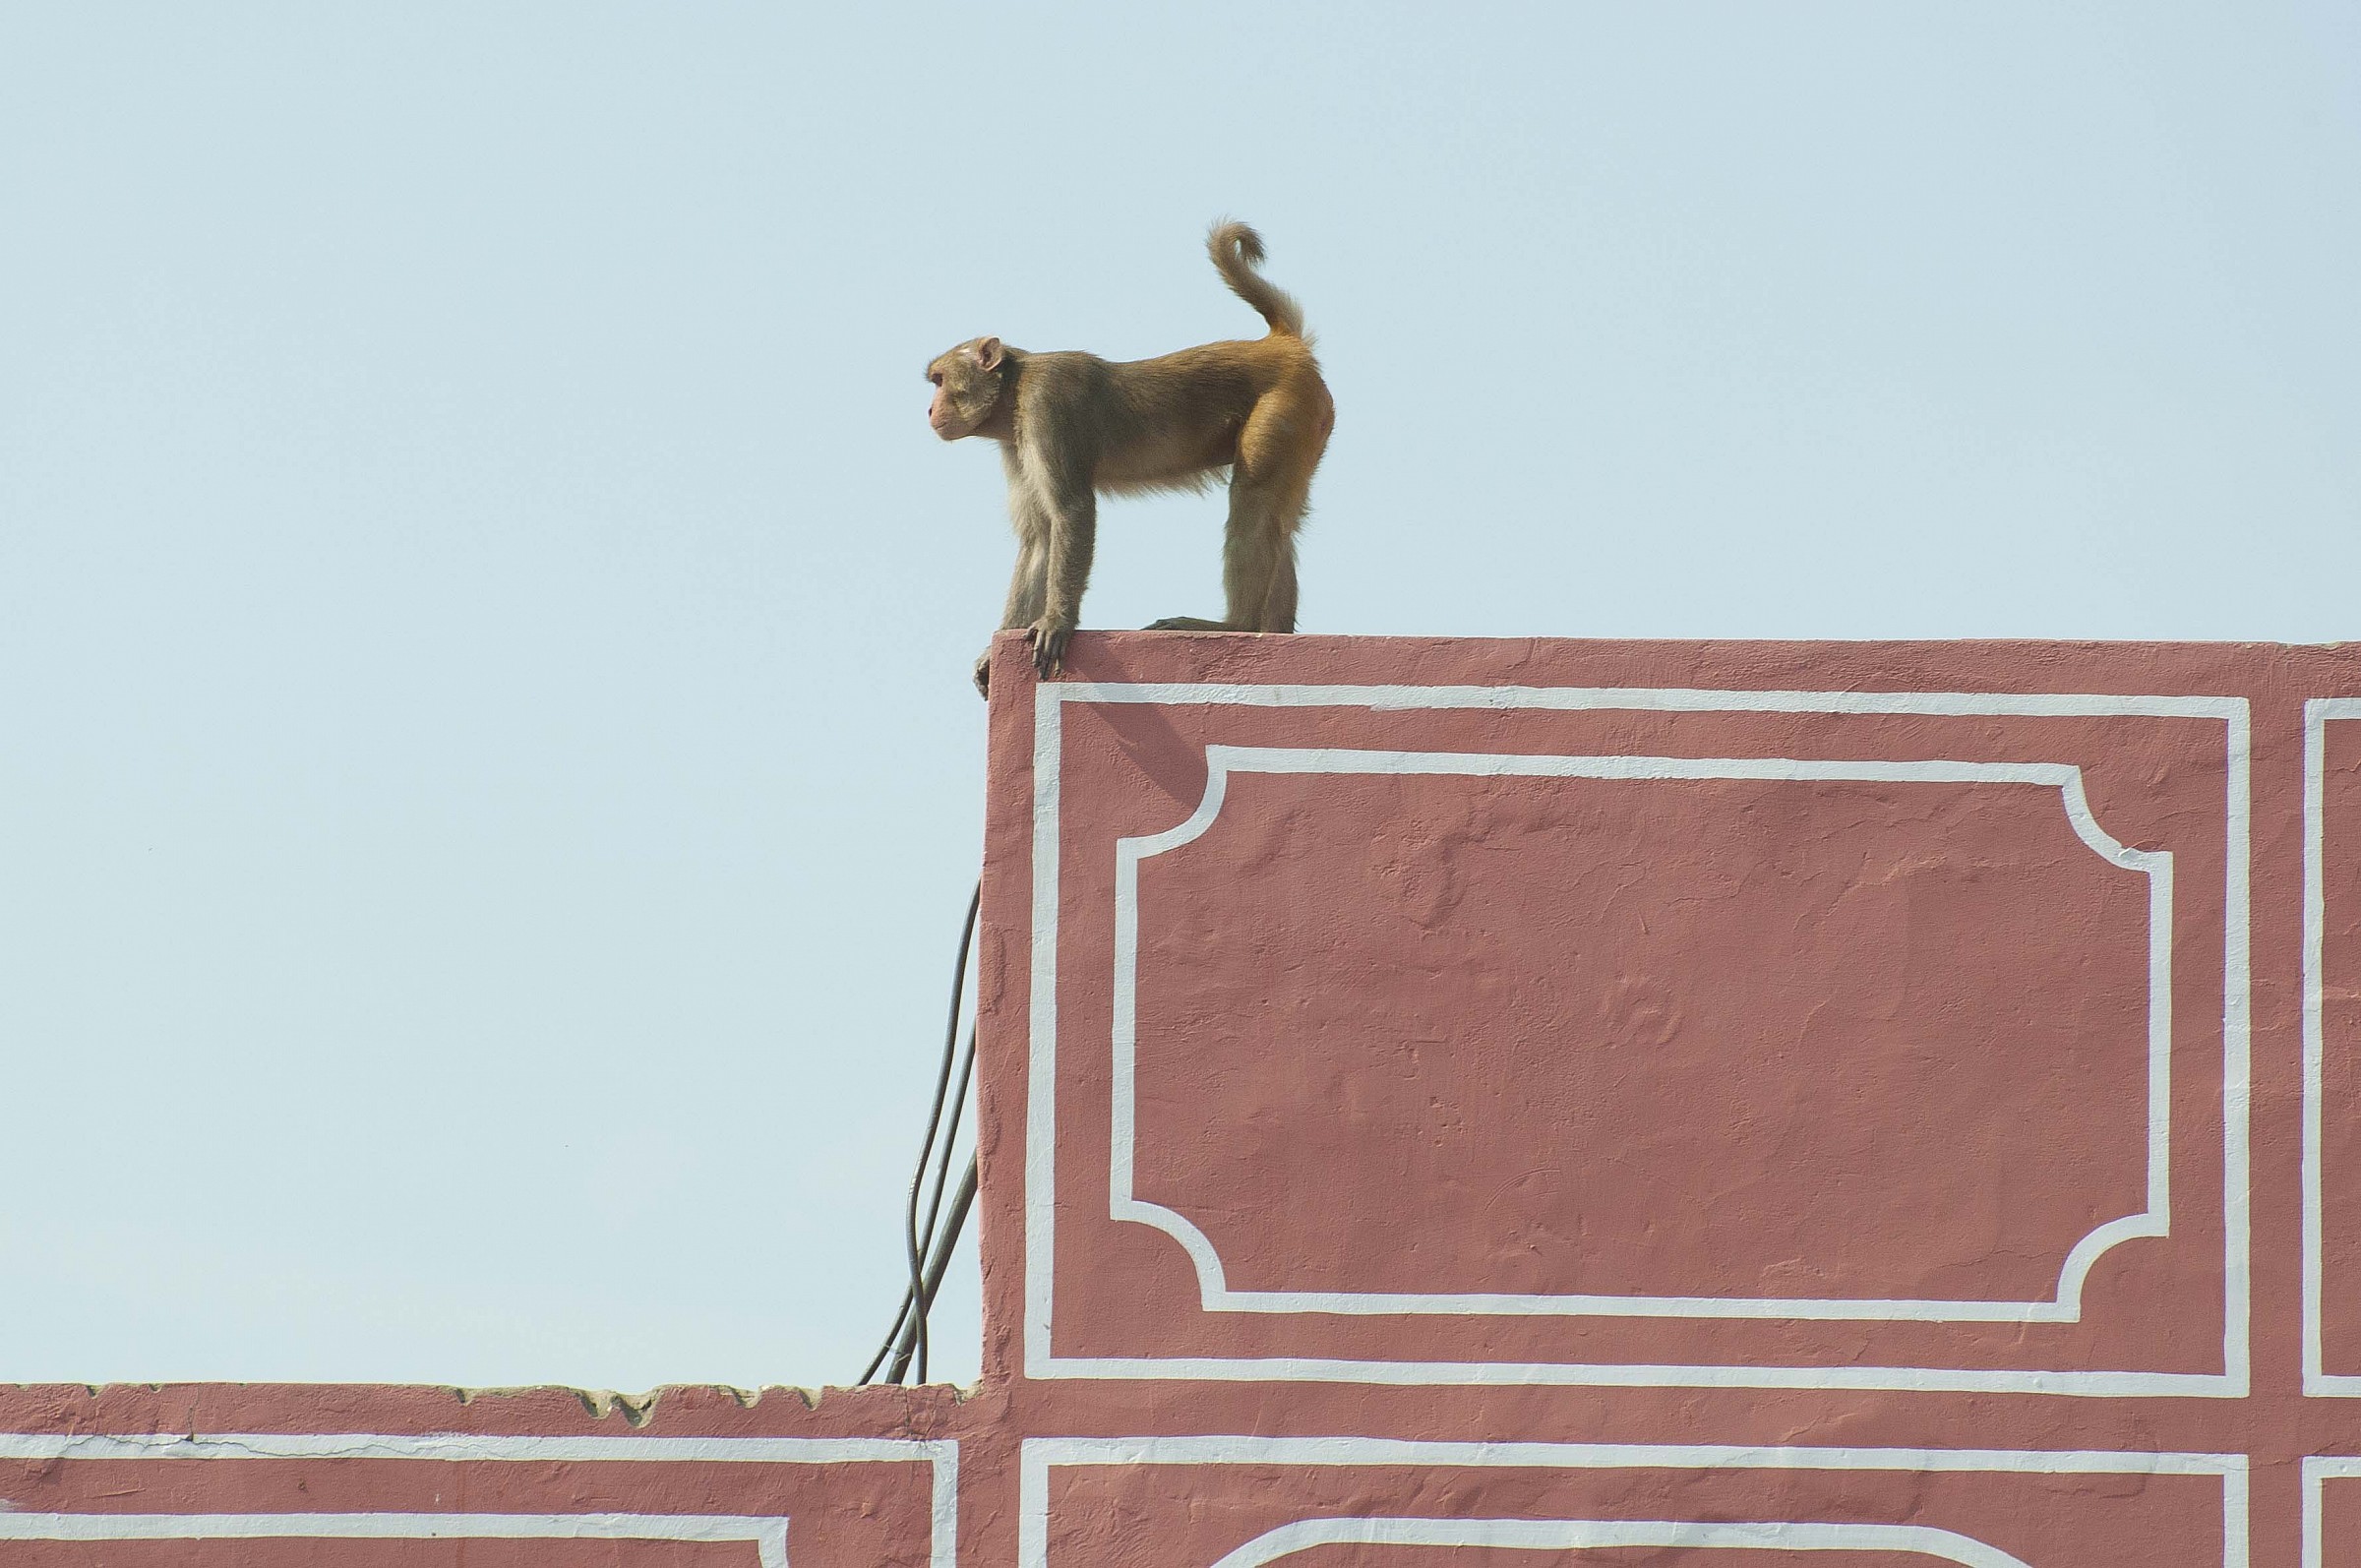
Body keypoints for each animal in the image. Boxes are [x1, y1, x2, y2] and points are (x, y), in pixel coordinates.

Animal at [926, 221, 1334, 696]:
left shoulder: (1047, 407)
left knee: (1254, 502)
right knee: (1280, 521)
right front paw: (996, 649)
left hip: (1284, 408)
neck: (1014, 390)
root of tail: (1282, 346)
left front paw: (1057, 621)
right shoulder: (1016, 445)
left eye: (940, 380)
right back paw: (1275, 632)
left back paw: (1238, 626)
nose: (929, 410)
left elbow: (1072, 510)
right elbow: (1040, 537)